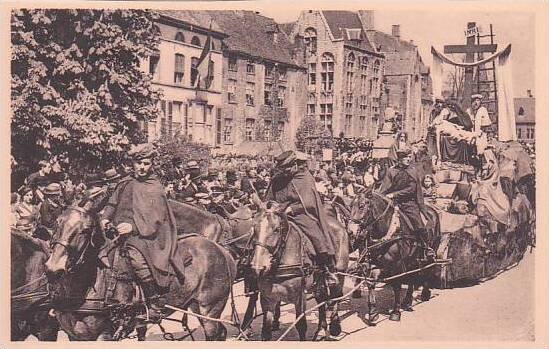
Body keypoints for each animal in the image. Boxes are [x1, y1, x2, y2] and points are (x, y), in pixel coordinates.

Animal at [44, 204, 237, 340]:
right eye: (57, 224)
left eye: (85, 230)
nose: (53, 268)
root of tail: (221, 250)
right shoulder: (74, 336)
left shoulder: (104, 335)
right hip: (195, 305)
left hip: (210, 309)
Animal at [248, 204, 346, 340]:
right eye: (254, 228)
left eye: (276, 229)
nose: (258, 268)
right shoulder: (267, 298)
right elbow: (266, 331)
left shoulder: (300, 297)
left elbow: (301, 326)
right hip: (318, 283)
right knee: (321, 300)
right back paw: (321, 329)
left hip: (340, 272)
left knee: (337, 295)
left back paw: (335, 326)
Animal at [346, 189, 440, 322]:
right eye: (350, 206)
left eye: (362, 206)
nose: (350, 231)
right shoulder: (373, 263)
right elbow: (371, 282)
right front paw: (373, 312)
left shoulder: (397, 265)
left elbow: (396, 286)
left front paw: (395, 312)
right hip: (412, 260)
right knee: (412, 277)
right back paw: (407, 301)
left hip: (431, 251)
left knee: (428, 269)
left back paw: (425, 294)